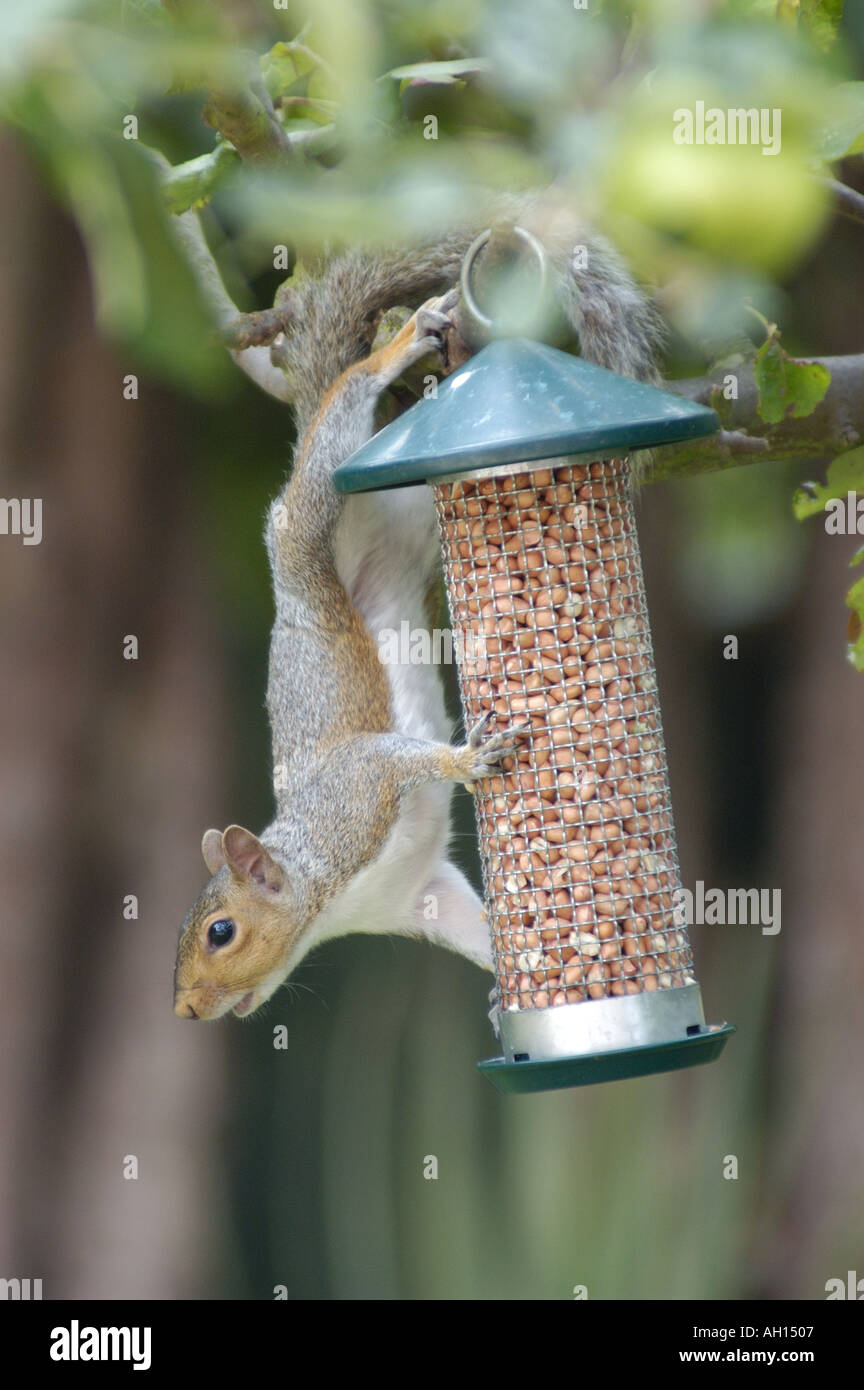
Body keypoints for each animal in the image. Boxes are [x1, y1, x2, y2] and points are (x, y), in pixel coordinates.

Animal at [173, 203, 664, 1021]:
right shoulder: (421, 896)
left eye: (221, 932)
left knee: (344, 401)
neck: (324, 896)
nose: (185, 1009)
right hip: (408, 522)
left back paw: (394, 352)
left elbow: (404, 758)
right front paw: (507, 990)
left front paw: (469, 759)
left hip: (303, 529)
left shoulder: (357, 794)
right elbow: (470, 922)